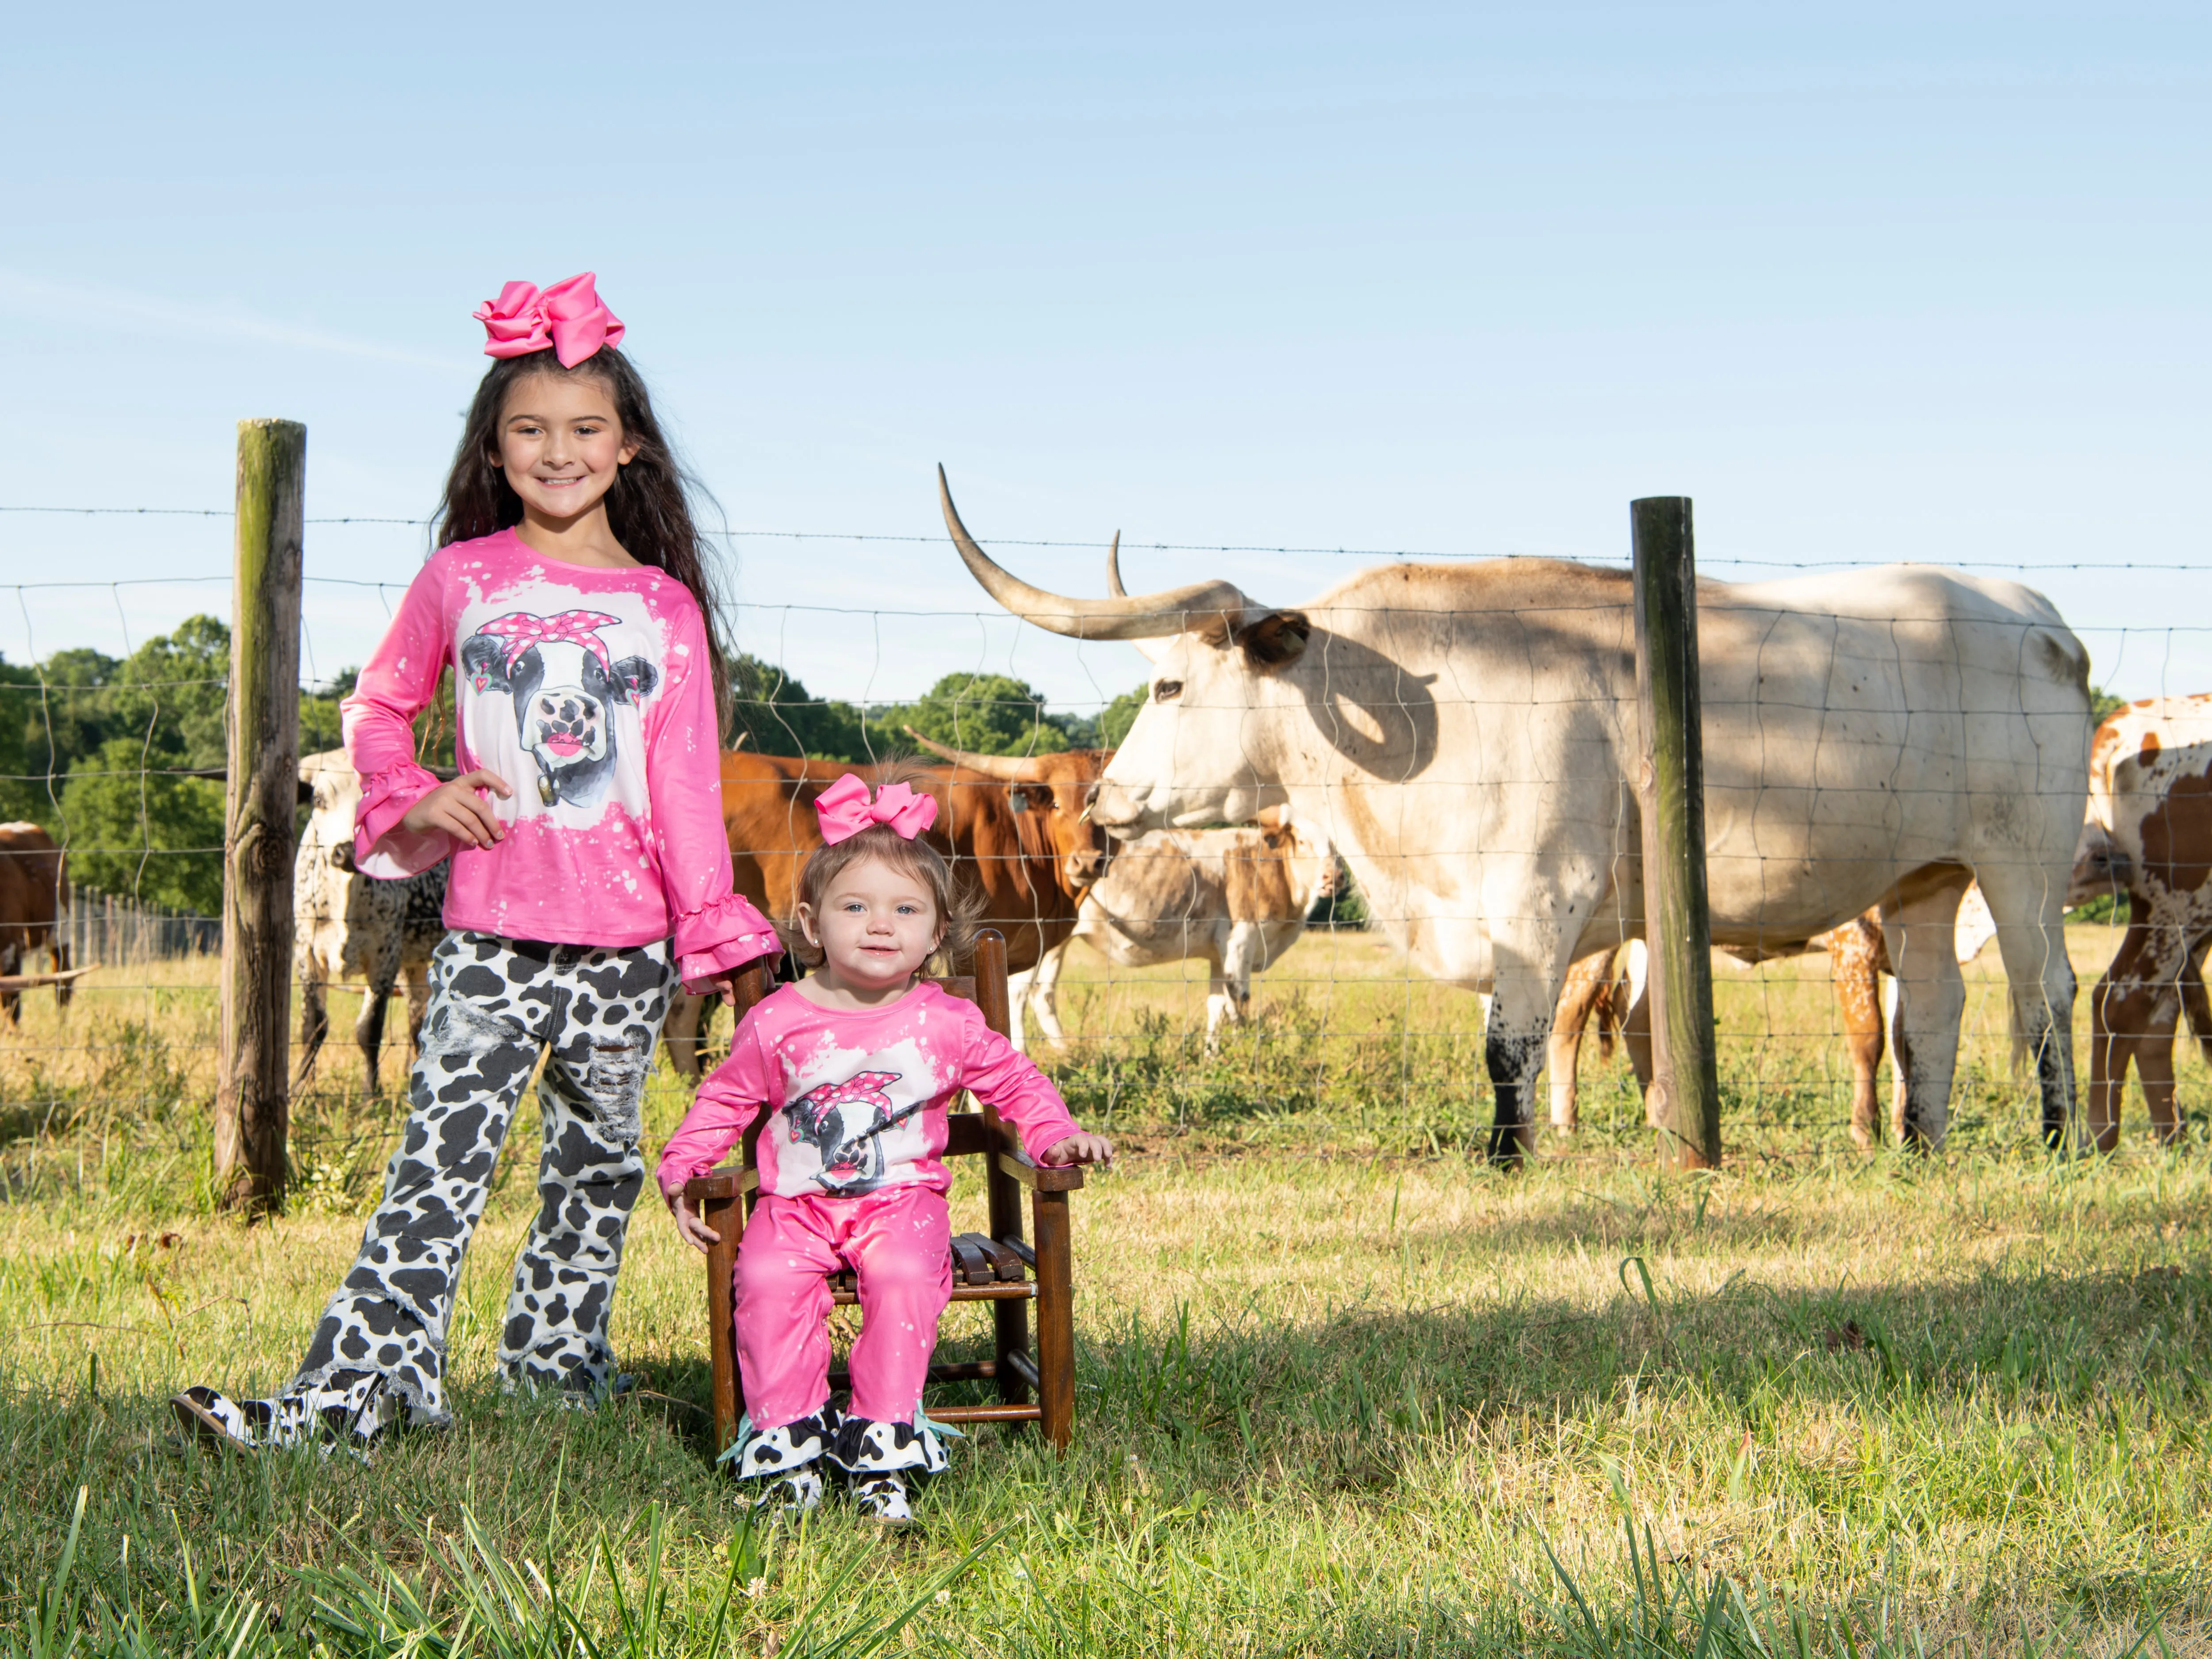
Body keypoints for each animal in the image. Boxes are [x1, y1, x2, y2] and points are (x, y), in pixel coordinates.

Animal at [947, 469, 2088, 1159]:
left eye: (1169, 686)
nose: (1105, 801)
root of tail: (2032, 616)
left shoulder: (1538, 898)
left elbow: (1511, 1043)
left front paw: (1505, 1157)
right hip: (1923, 876)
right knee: (1930, 1009)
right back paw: (1921, 1143)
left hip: (2022, 866)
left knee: (2043, 998)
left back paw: (2059, 1137)